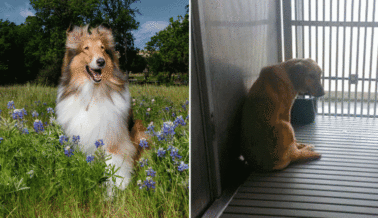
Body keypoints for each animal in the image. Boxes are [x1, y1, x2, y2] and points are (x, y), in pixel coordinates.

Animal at [55, 24, 145, 197]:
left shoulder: (114, 138)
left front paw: (115, 188)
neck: (93, 92)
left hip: (139, 127)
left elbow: (115, 164)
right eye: (86, 48)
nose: (101, 61)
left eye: (102, 48)